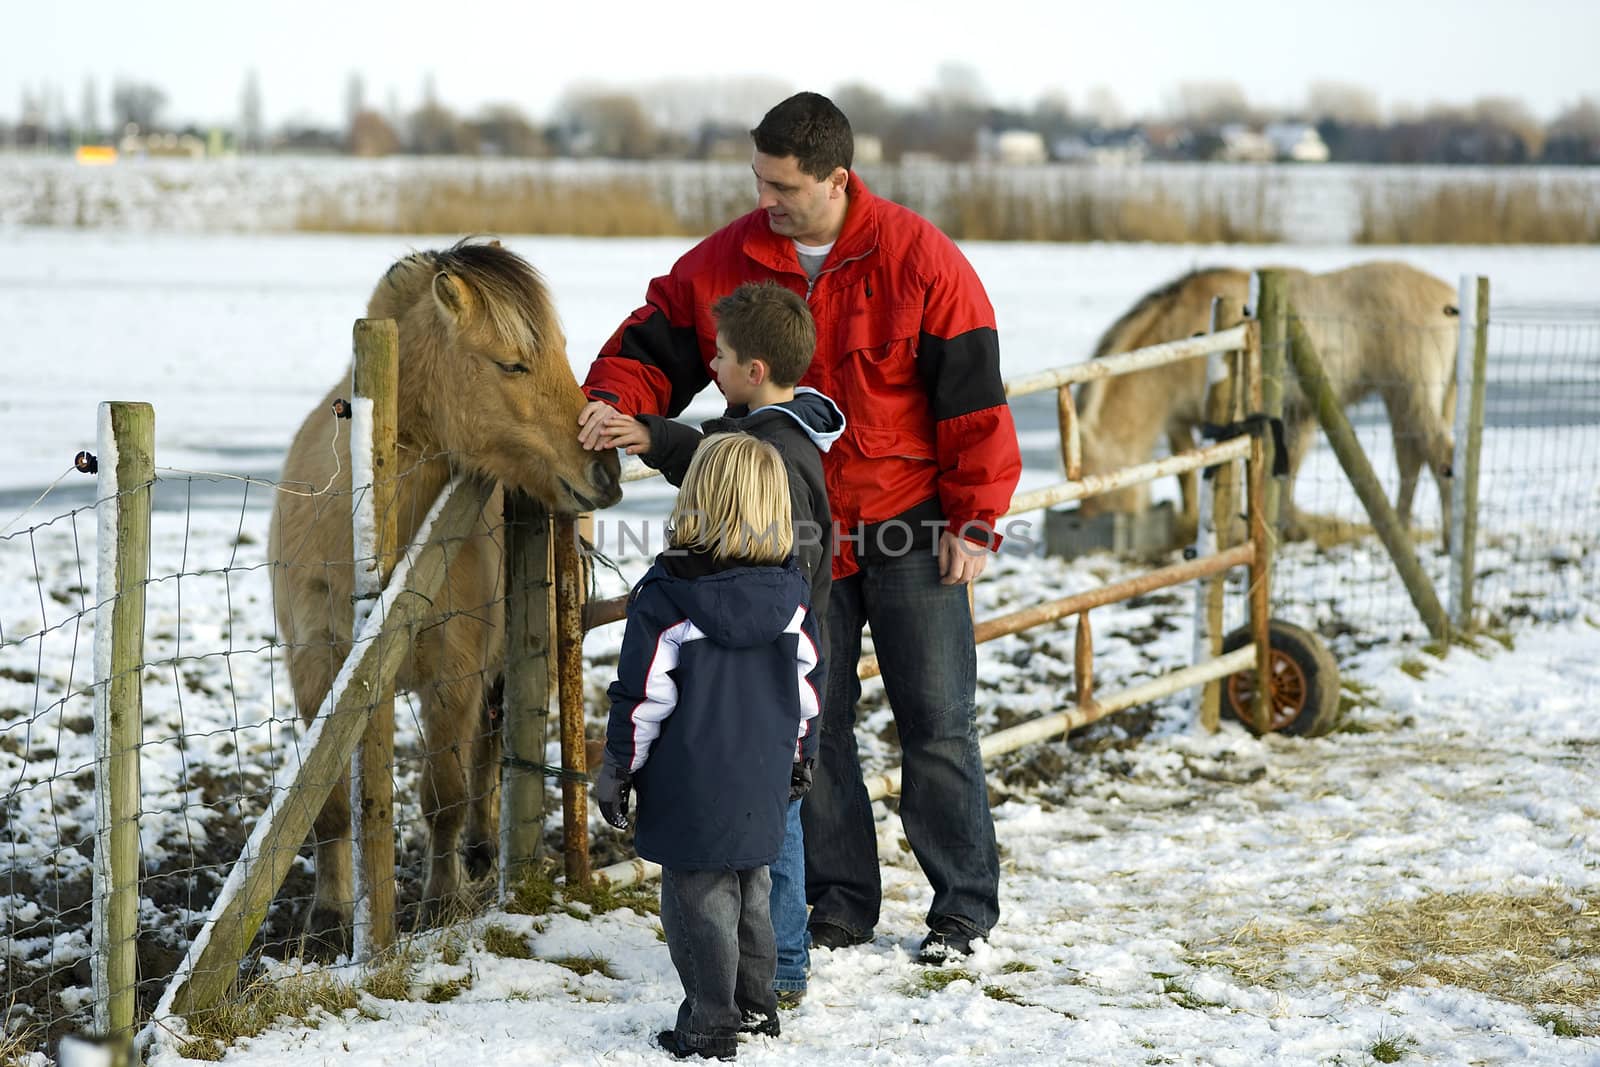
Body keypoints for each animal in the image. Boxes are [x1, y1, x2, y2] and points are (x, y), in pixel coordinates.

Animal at [268, 239, 617, 940]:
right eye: (512, 363)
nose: (606, 470)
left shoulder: (453, 674)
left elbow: (444, 798)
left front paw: (440, 901)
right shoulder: (317, 669)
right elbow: (329, 808)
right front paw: (329, 919)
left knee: (486, 753)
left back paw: (482, 851)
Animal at [1075, 259, 1465, 543]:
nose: (1091, 521)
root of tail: (1451, 299)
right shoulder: (1186, 422)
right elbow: (1196, 474)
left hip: (1410, 393)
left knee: (1438, 454)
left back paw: (1445, 538)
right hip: (1407, 397)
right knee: (1411, 459)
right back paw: (1400, 528)